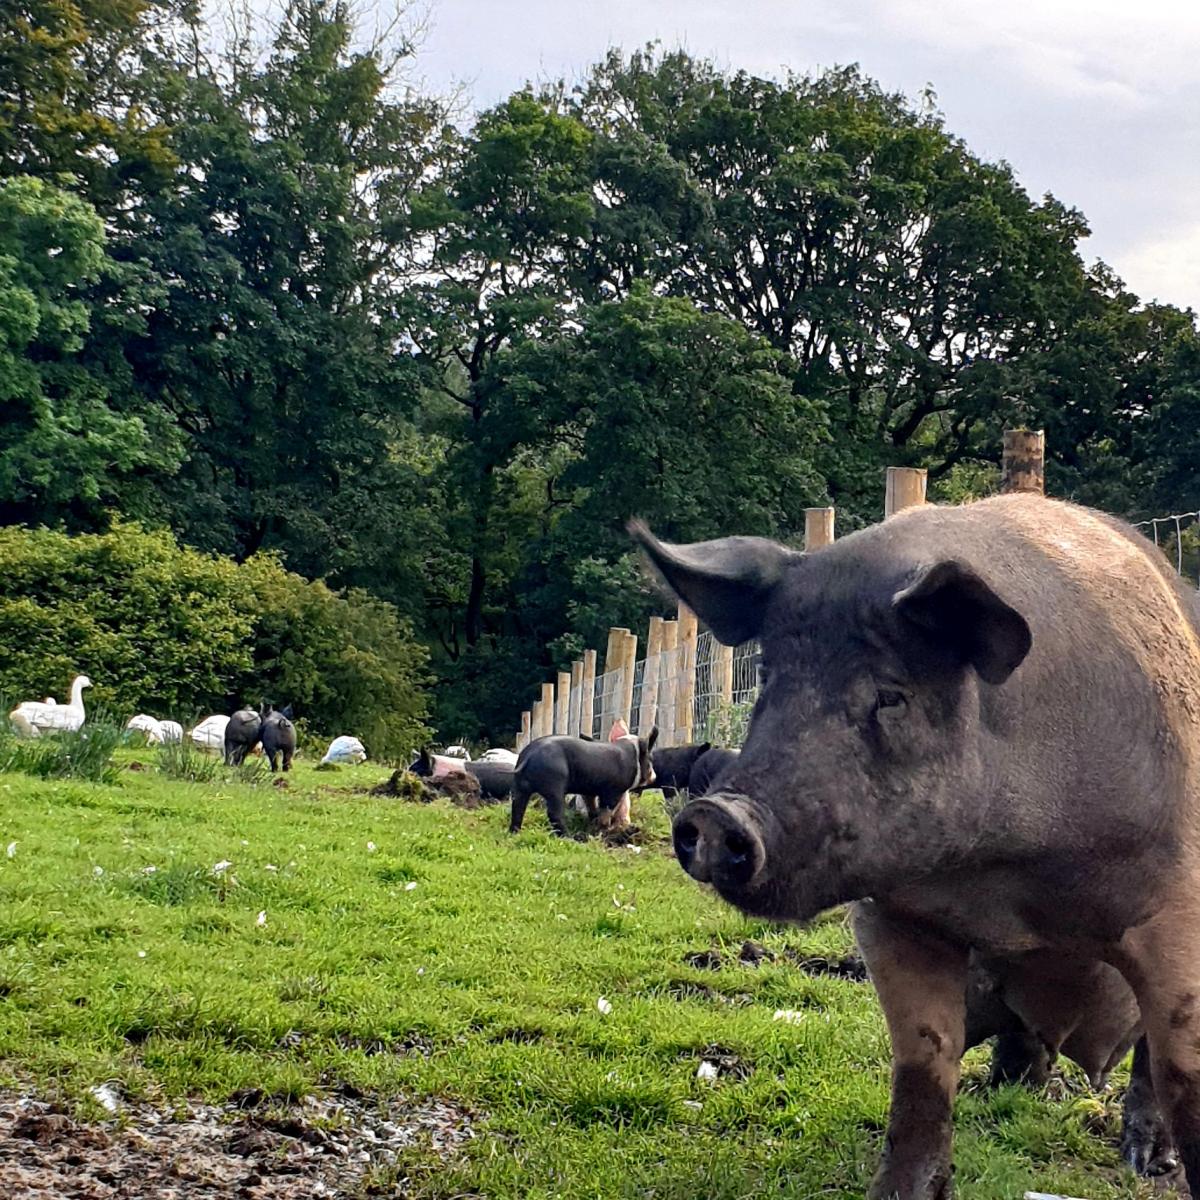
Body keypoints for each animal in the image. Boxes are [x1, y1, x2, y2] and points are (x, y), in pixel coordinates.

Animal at [506, 729, 657, 835]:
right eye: (650, 758)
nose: (654, 777)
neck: (633, 756)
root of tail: (529, 755)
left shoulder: (589, 791)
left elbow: (592, 806)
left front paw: (593, 824)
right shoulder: (613, 790)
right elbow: (606, 810)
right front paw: (604, 830)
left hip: (519, 787)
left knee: (517, 808)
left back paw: (515, 833)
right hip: (554, 784)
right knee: (554, 813)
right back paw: (569, 837)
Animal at [628, 492, 1200, 1195]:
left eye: (891, 694)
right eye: (769, 678)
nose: (714, 814)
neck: (1001, 884)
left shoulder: (1174, 911)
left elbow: (1179, 1071)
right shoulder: (894, 919)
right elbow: (924, 1064)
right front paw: (899, 1189)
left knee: (1144, 1055)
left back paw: (1147, 1162)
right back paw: (1000, 1092)